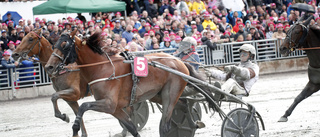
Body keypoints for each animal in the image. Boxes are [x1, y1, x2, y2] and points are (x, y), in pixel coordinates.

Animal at [42, 30, 212, 137]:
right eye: (54, 43)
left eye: (64, 44)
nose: (49, 67)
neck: (102, 68)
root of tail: (179, 61)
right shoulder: (115, 109)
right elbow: (131, 128)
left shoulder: (108, 104)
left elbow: (83, 106)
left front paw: (73, 126)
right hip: (157, 95)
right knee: (184, 104)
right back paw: (195, 123)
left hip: (170, 94)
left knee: (165, 125)